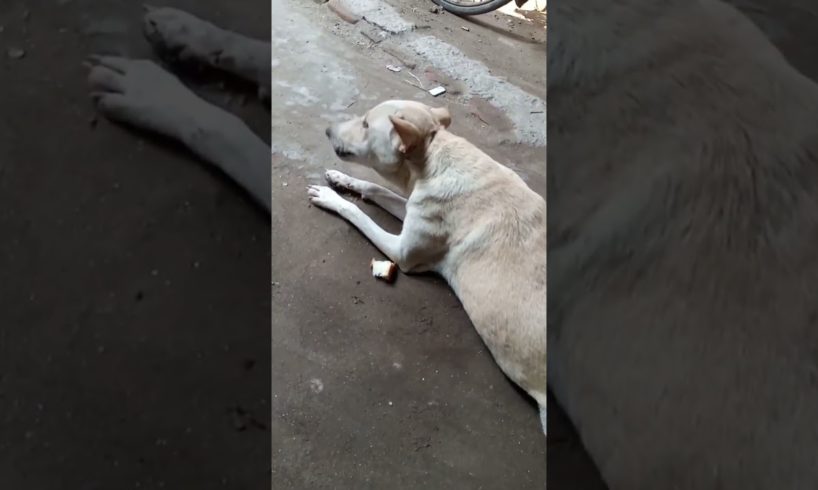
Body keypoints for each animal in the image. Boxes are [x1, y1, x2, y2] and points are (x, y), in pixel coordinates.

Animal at [310, 98, 544, 432]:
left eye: (366, 124)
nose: (328, 130)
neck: (431, 160)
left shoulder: (403, 253)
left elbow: (358, 212)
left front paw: (332, 197)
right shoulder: (410, 206)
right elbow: (375, 188)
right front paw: (342, 179)